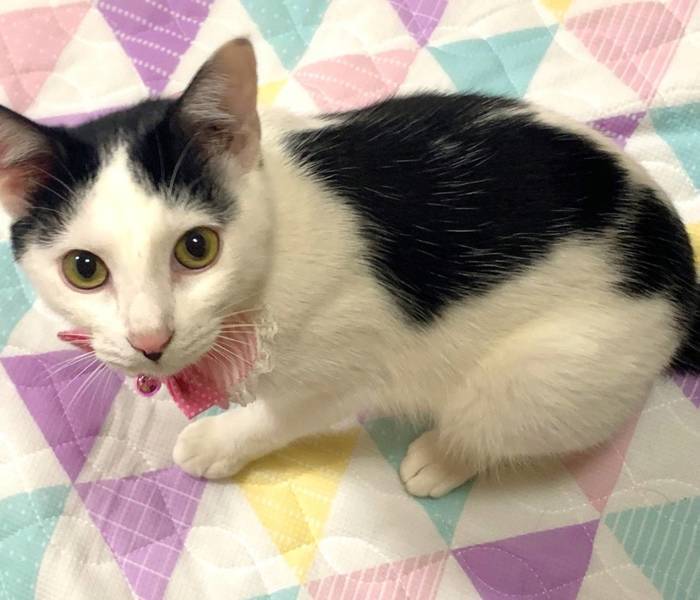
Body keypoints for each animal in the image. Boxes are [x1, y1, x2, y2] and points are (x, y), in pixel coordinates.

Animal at [1, 38, 698, 498]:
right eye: (84, 269)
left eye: (196, 248)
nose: (151, 340)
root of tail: (680, 274)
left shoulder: (347, 358)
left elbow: (282, 415)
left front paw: (220, 442)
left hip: (547, 371)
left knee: (498, 420)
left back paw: (442, 458)